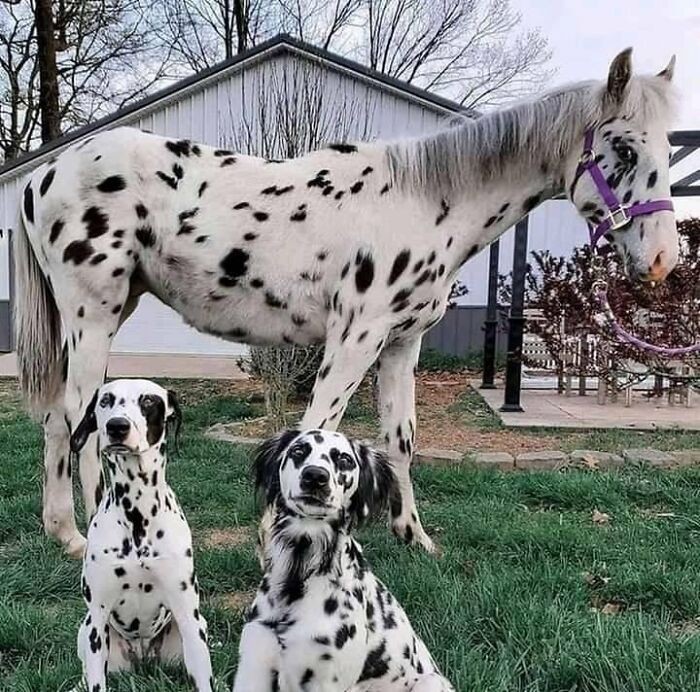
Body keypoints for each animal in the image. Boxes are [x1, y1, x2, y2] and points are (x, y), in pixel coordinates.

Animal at [15, 47, 680, 556]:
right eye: (624, 150)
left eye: (669, 149)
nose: (662, 261)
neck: (422, 200)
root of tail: (44, 174)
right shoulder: (357, 336)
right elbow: (319, 423)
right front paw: (274, 536)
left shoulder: (402, 343)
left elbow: (401, 437)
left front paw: (413, 536)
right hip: (93, 315)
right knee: (77, 419)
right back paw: (86, 534)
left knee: (61, 421)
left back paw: (67, 532)